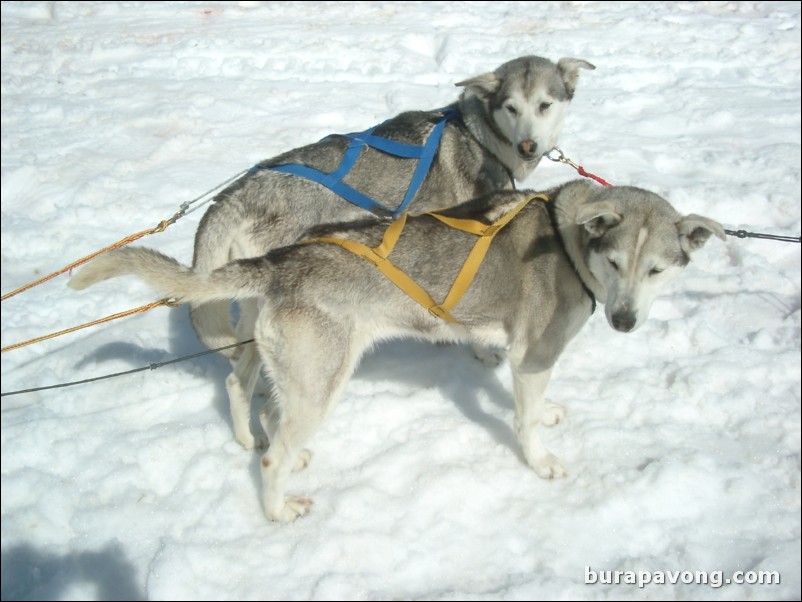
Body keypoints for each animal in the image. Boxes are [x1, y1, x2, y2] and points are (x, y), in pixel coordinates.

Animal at [69, 178, 720, 520]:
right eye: (615, 262)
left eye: (657, 270)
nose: (625, 320)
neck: (568, 243)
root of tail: (284, 261)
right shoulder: (533, 356)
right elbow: (527, 421)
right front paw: (540, 461)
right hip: (322, 383)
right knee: (273, 455)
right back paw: (278, 507)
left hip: (278, 359)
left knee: (245, 392)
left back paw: (251, 438)